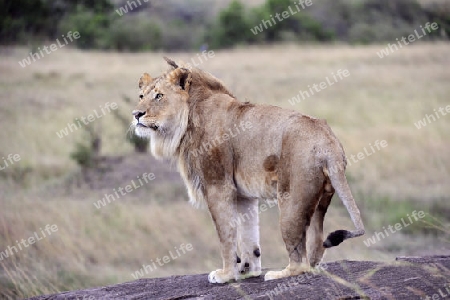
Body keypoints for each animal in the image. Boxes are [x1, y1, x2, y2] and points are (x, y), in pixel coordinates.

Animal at [132, 56, 364, 284]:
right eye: (141, 96)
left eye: (159, 96)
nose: (136, 114)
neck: (186, 120)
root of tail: (329, 140)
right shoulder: (244, 195)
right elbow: (248, 233)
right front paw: (248, 269)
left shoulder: (218, 186)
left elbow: (226, 234)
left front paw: (226, 274)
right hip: (321, 198)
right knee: (316, 247)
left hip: (291, 199)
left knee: (301, 262)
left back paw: (278, 274)